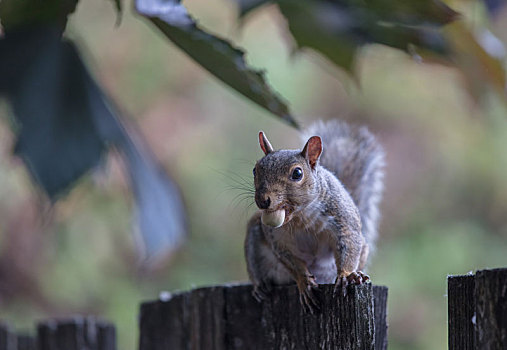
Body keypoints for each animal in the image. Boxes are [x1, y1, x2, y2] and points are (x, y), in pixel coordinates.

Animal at [244, 120, 382, 312]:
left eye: (297, 173)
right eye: (255, 170)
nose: (263, 200)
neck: (301, 217)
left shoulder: (343, 222)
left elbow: (349, 244)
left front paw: (347, 275)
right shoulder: (278, 239)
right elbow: (291, 260)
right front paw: (304, 281)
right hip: (255, 236)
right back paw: (260, 286)